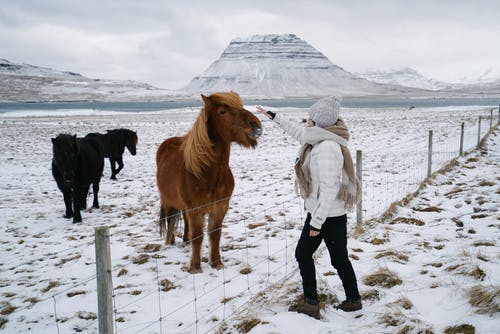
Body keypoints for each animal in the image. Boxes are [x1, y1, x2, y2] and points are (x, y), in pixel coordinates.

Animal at [157, 90, 264, 272]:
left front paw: (217, 263)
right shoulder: (196, 209)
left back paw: (185, 241)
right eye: (222, 111)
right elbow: (198, 236)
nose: (256, 125)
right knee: (171, 219)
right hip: (167, 200)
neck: (207, 174)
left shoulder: (220, 207)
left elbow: (215, 234)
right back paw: (170, 242)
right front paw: (195, 268)